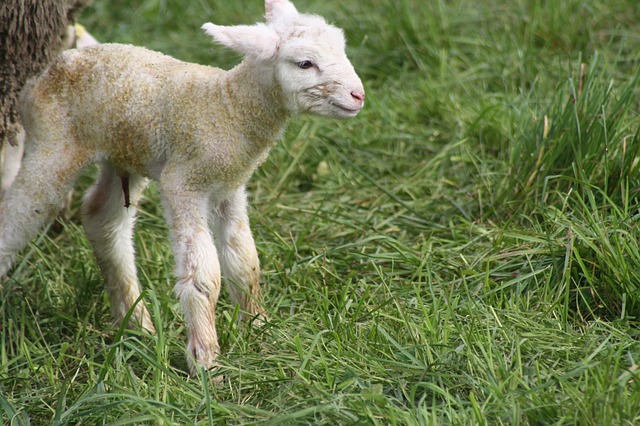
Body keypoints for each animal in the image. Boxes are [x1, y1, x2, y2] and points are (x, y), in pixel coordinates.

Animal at [0, 0, 364, 372]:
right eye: (305, 63)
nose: (358, 96)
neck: (229, 106)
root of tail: (49, 69)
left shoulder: (229, 188)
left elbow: (244, 261)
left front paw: (259, 329)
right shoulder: (184, 182)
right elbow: (203, 275)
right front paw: (206, 361)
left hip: (123, 152)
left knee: (103, 219)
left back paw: (136, 325)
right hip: (53, 143)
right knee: (17, 216)